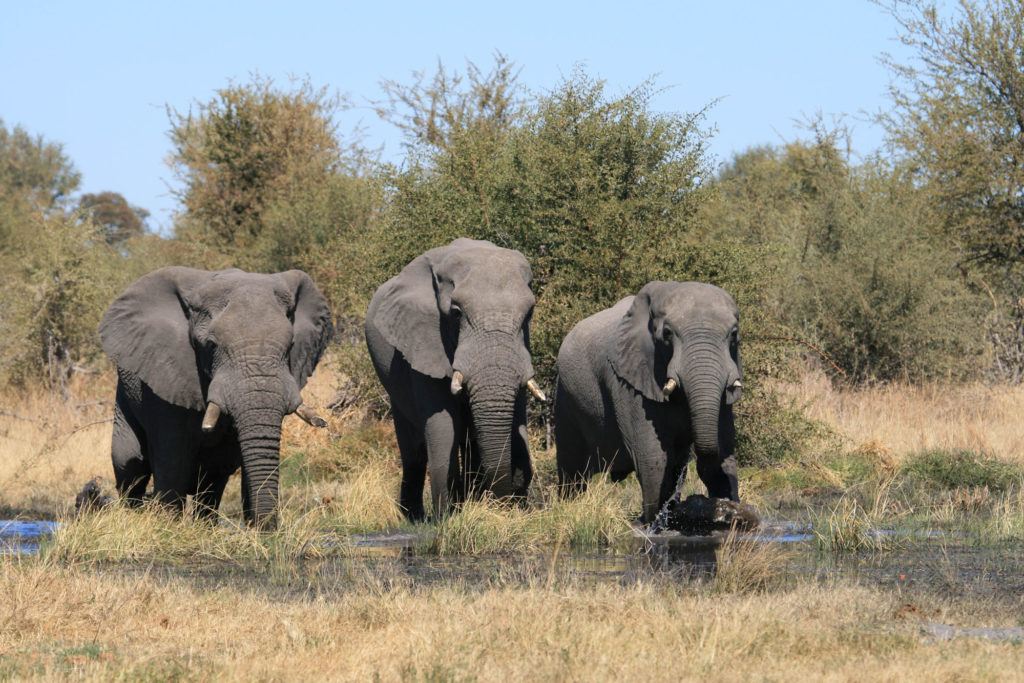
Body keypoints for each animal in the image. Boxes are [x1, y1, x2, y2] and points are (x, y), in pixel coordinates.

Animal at [98, 267, 333, 529]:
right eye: (211, 346)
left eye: (291, 345)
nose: (266, 531)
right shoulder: (165, 381)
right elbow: (173, 461)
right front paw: (169, 528)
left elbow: (228, 460)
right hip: (124, 396)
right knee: (129, 462)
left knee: (212, 475)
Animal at [364, 238, 545, 521]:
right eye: (457, 313)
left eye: (529, 313)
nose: (508, 500)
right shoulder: (424, 342)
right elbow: (442, 424)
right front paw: (448, 517)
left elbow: (515, 417)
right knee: (414, 448)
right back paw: (415, 517)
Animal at [554, 281, 743, 523]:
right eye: (667, 334)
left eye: (734, 335)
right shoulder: (627, 382)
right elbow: (653, 455)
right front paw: (652, 522)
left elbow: (724, 451)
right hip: (565, 396)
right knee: (572, 468)